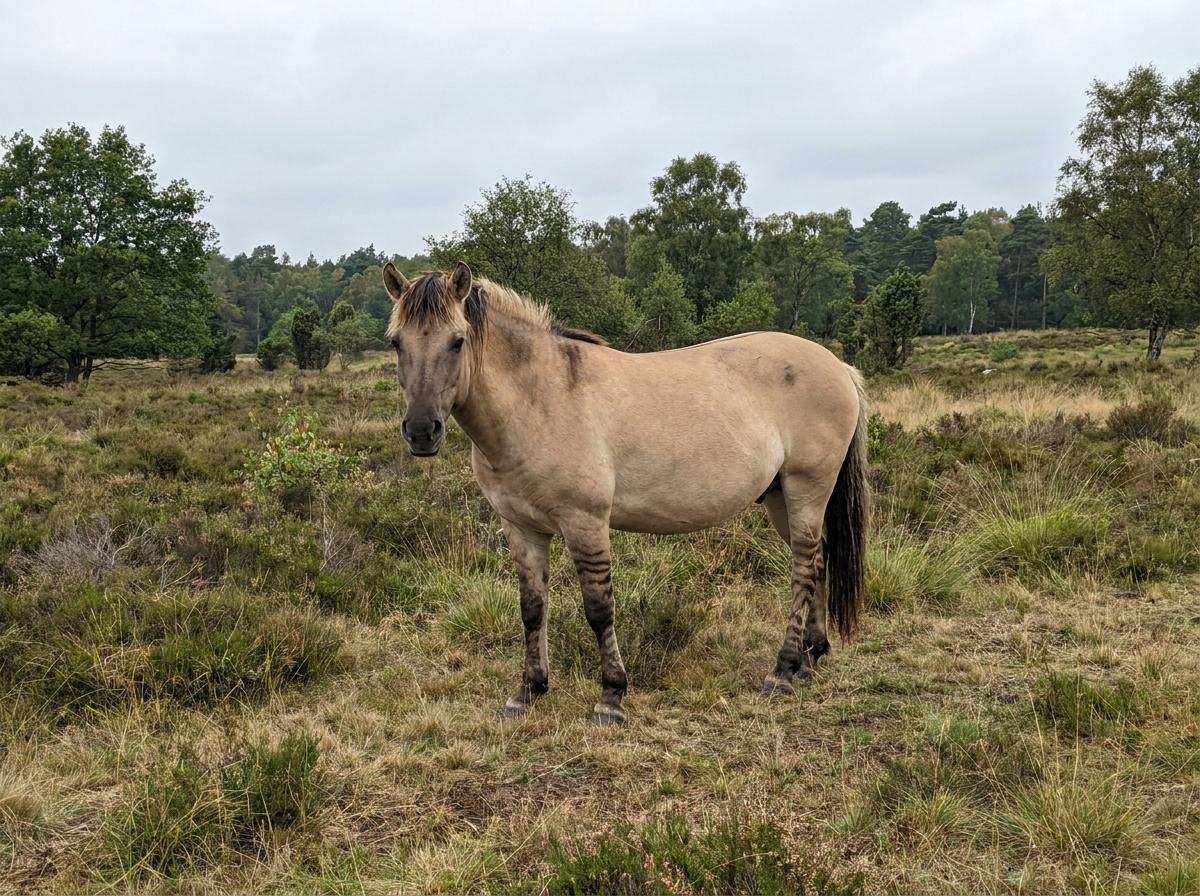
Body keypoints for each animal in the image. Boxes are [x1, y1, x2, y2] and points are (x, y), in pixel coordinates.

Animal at [383, 261, 869, 726]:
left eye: (457, 341)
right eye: (396, 343)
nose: (422, 431)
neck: (539, 400)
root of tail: (838, 367)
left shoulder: (585, 523)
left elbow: (599, 609)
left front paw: (611, 698)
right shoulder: (521, 527)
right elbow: (532, 608)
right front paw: (529, 691)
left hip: (807, 488)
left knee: (803, 569)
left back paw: (783, 670)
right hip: (779, 496)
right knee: (818, 559)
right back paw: (810, 659)